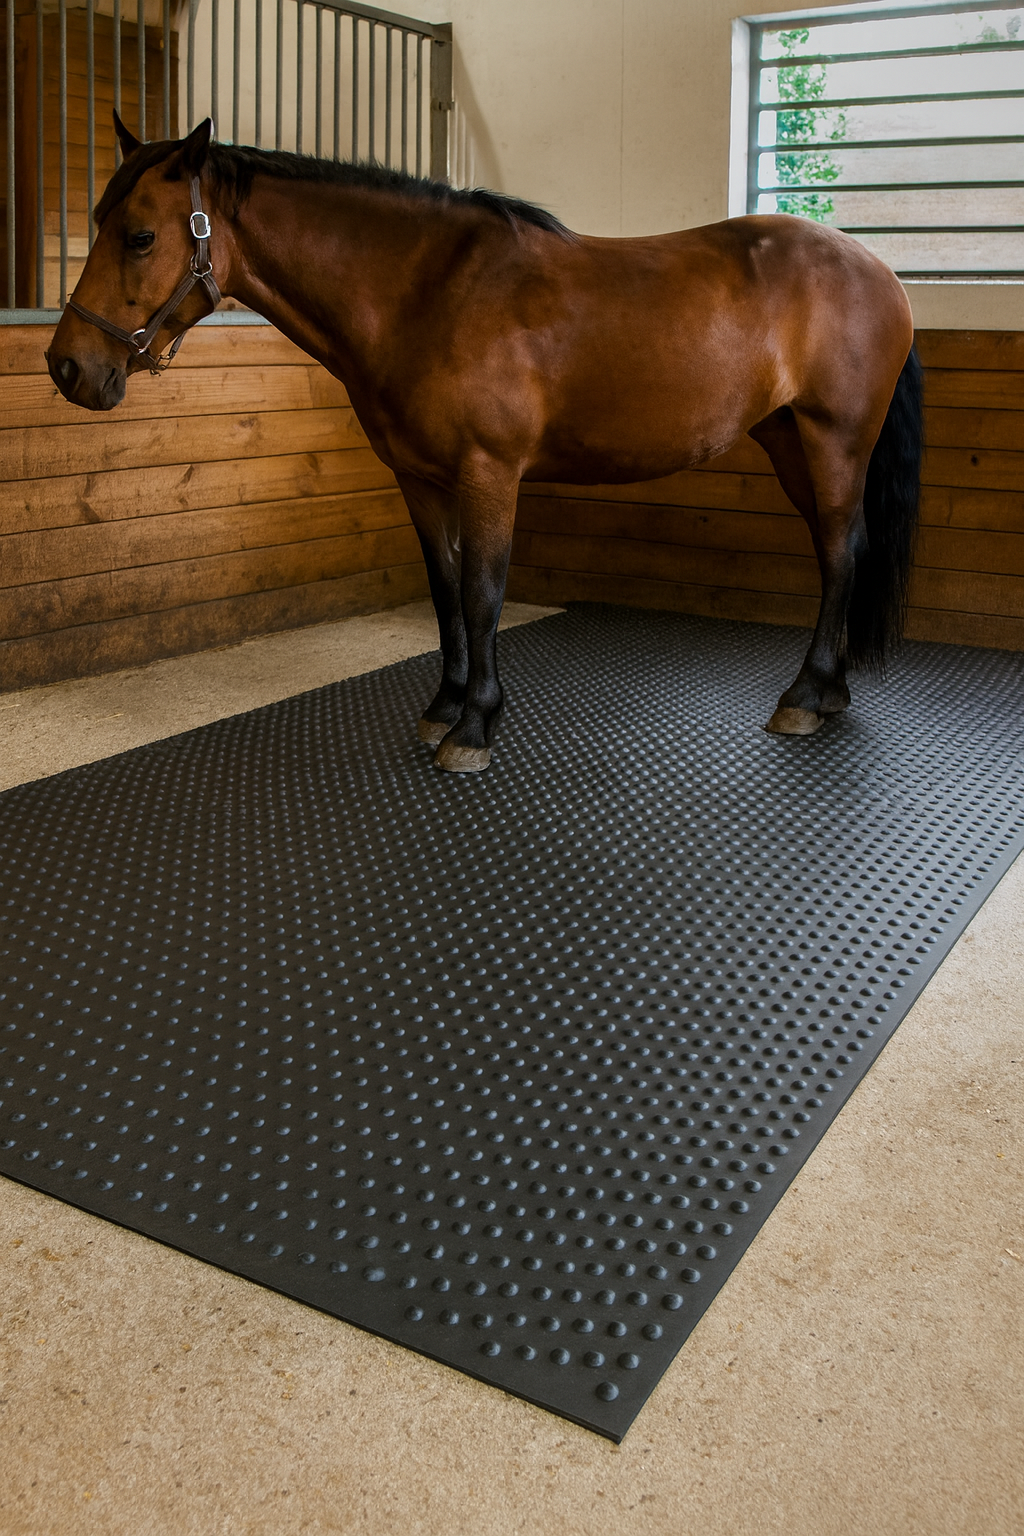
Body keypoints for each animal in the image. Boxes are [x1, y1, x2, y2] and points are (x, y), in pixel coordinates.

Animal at [47, 116, 922, 774]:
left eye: (139, 236)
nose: (67, 367)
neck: (429, 292)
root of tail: (877, 267)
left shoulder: (490, 474)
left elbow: (484, 592)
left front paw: (475, 728)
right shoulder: (420, 478)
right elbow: (444, 591)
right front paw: (444, 708)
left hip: (835, 443)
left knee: (841, 552)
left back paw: (805, 697)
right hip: (788, 442)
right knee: (839, 551)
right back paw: (829, 692)